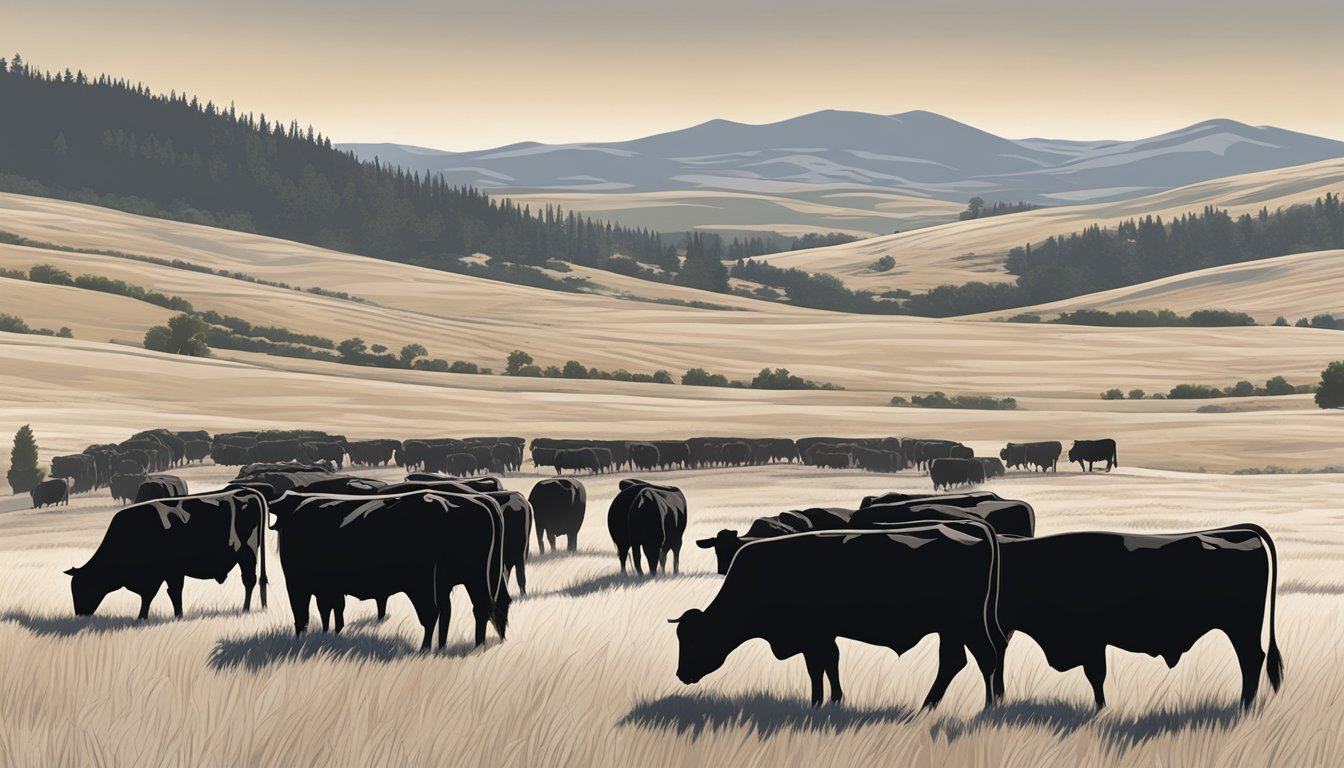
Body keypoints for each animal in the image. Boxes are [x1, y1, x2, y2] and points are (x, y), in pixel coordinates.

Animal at [64, 489, 268, 621]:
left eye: (84, 587)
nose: (80, 615)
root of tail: (247, 492)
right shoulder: (158, 575)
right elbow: (154, 595)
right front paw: (146, 617)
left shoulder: (170, 572)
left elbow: (169, 593)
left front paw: (170, 616)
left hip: (248, 554)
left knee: (249, 580)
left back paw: (245, 610)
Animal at [268, 492, 508, 648]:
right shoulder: (328, 589)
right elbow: (331, 613)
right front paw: (330, 635)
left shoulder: (298, 585)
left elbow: (303, 616)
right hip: (468, 580)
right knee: (471, 609)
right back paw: (464, 647)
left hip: (424, 585)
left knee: (434, 612)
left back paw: (425, 650)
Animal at [677, 521, 1005, 710]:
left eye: (693, 640)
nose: (681, 674)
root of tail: (975, 528)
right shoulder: (822, 636)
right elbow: (826, 665)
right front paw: (829, 701)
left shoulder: (812, 636)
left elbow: (819, 666)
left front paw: (820, 703)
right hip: (953, 628)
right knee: (957, 660)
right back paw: (929, 706)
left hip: (966, 624)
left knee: (985, 656)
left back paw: (985, 708)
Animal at [999, 527, 1279, 710]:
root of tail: (1241, 532)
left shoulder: (1092, 643)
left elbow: (1096, 676)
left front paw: (1100, 711)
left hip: (1242, 628)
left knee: (1251, 659)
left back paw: (1244, 707)